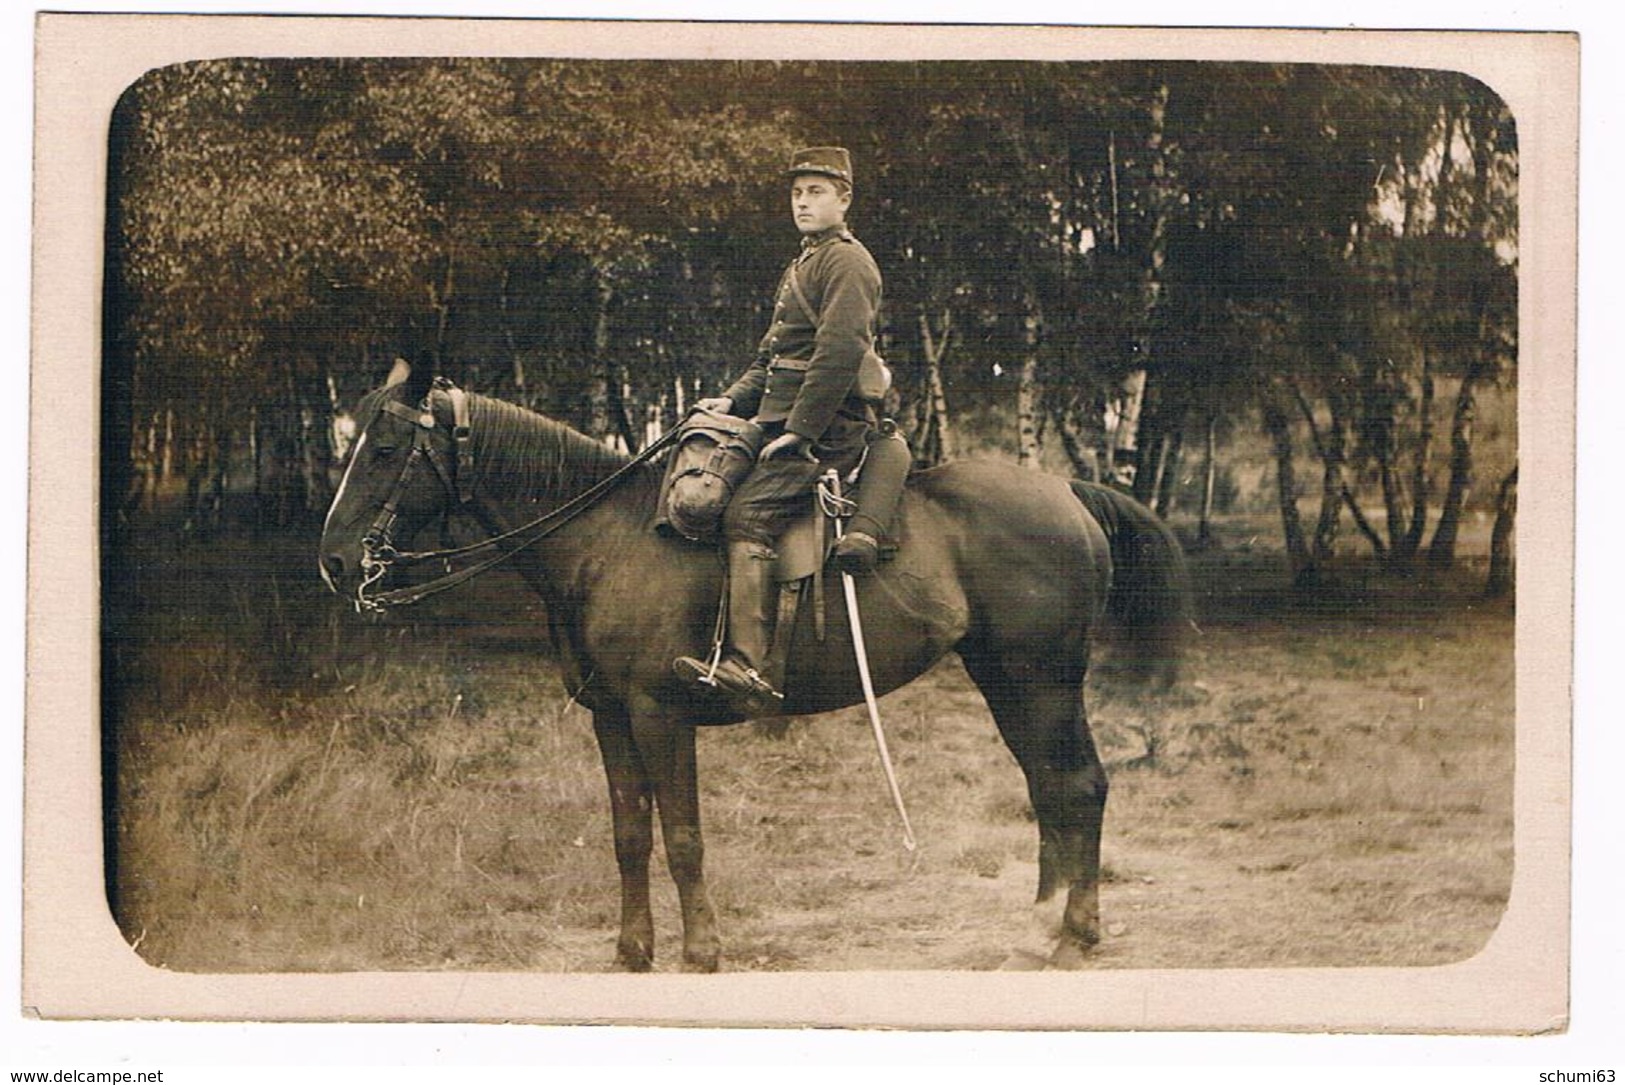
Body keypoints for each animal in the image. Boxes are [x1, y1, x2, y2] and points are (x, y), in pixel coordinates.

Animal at [316, 360, 1189, 968]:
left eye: (386, 447)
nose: (333, 560)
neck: (608, 539)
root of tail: (1068, 491)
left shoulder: (660, 714)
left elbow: (683, 836)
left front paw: (701, 949)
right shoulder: (610, 718)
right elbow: (628, 833)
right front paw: (632, 949)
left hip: (1040, 678)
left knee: (1077, 784)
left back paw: (1073, 933)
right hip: (1005, 678)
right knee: (1049, 786)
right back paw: (1043, 920)